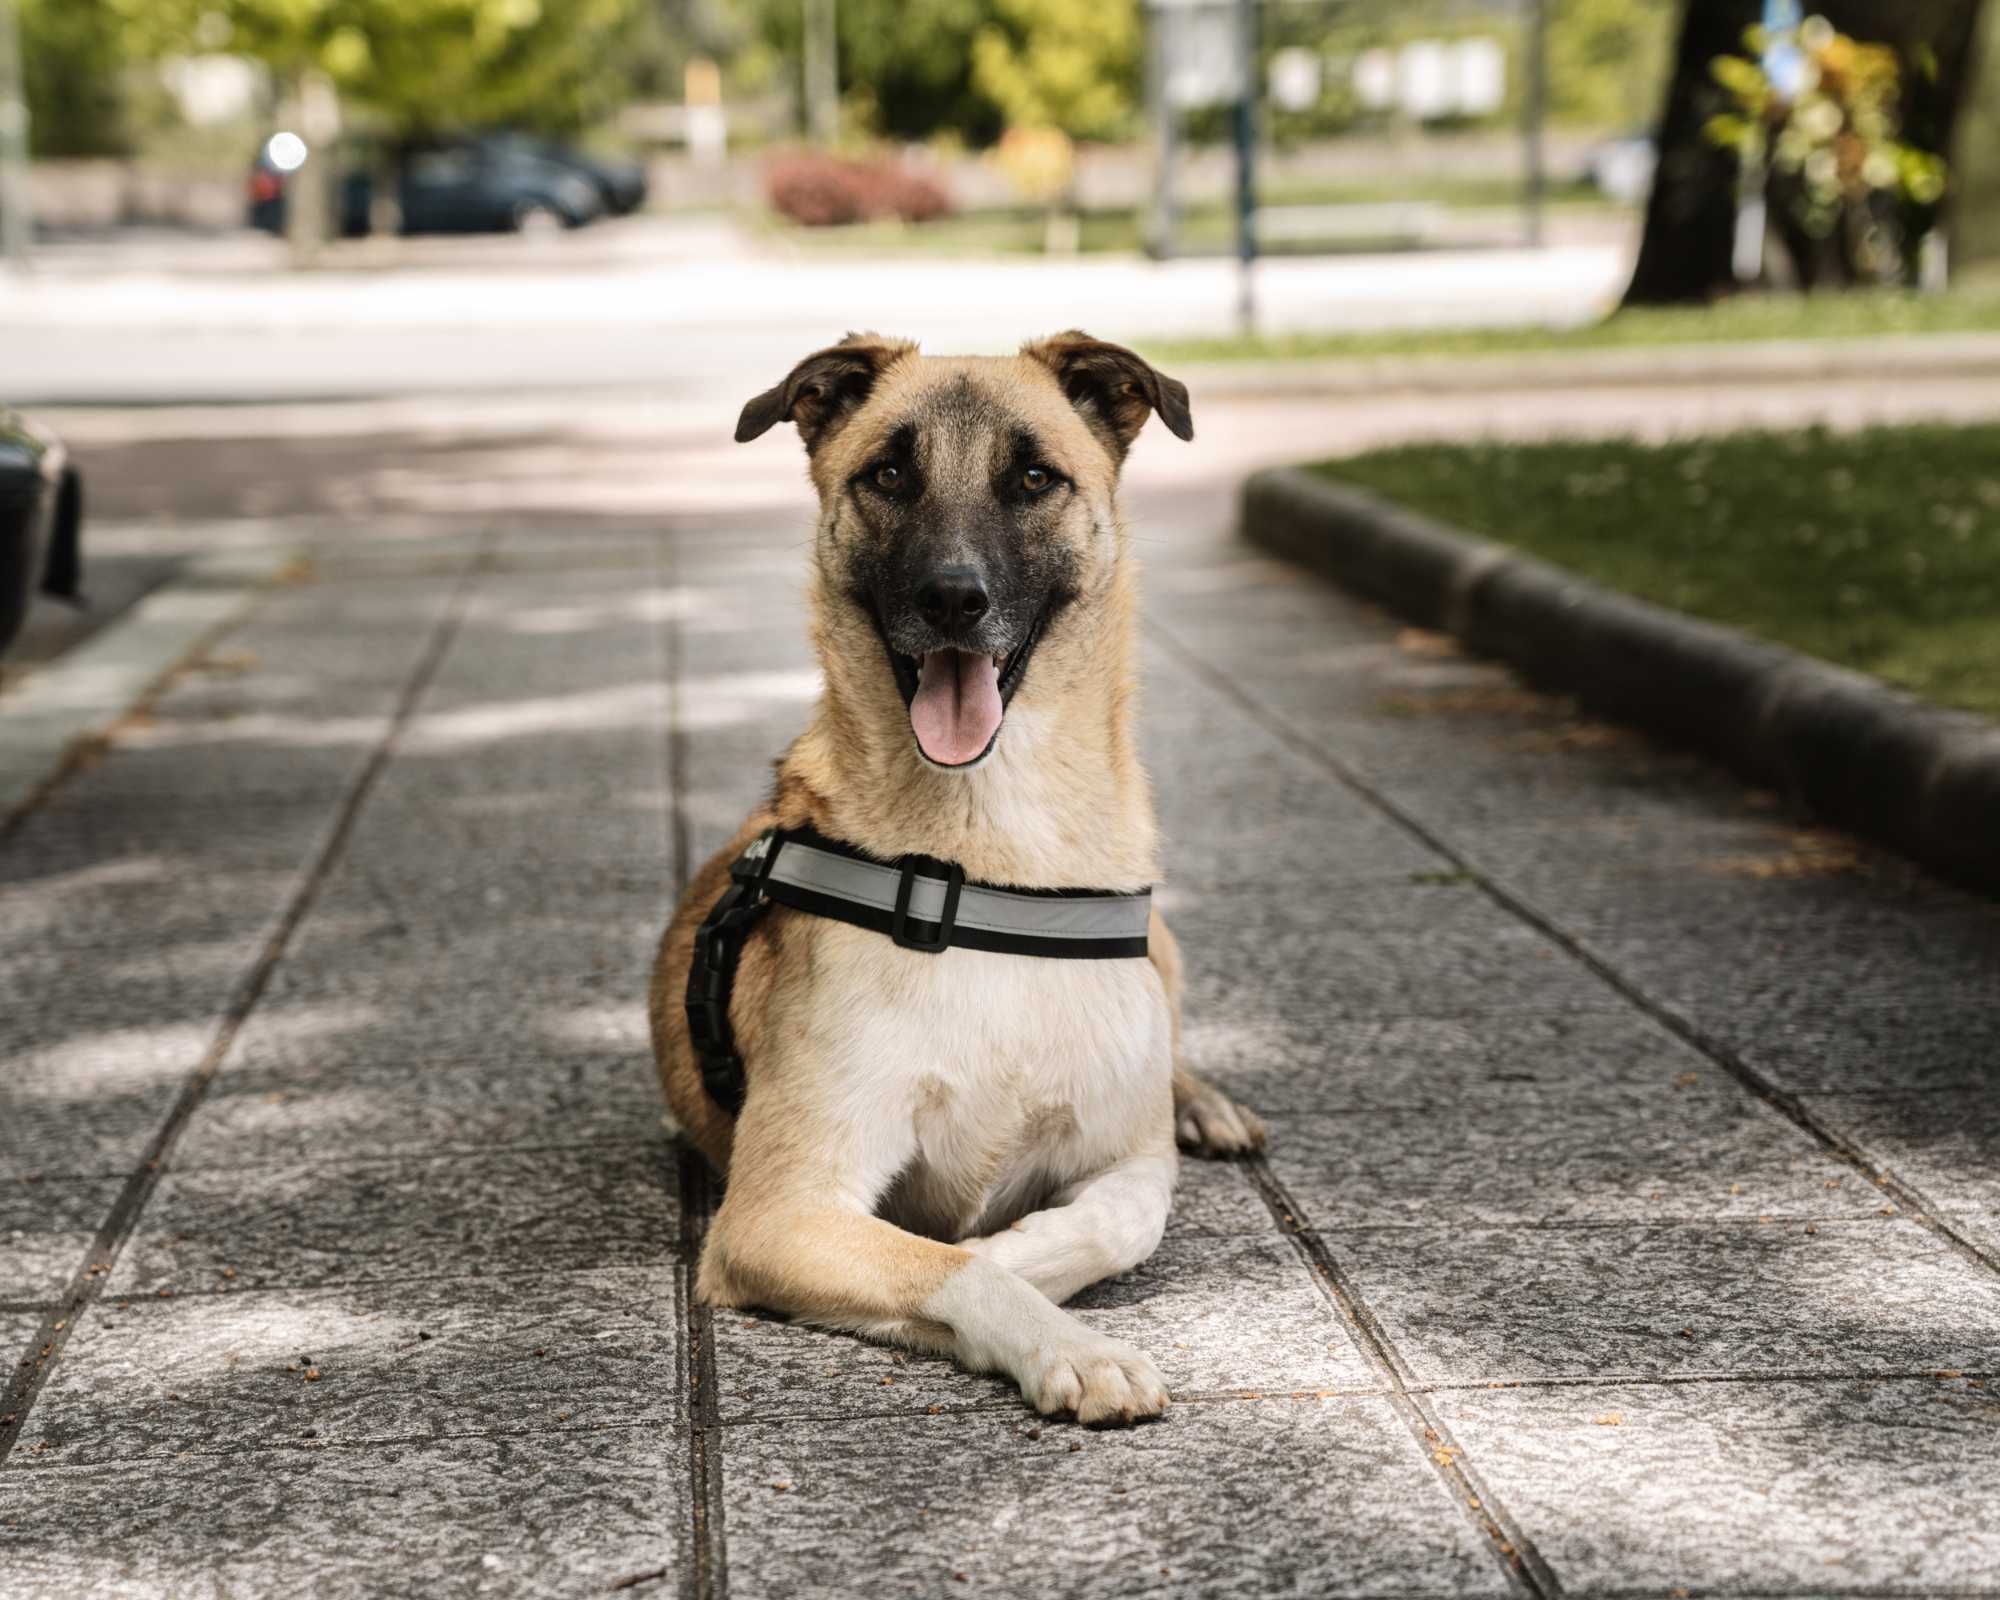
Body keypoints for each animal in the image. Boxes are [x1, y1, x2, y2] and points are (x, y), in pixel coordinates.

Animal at [652, 334, 1264, 1424]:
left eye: (1034, 479)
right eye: (889, 473)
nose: (951, 598)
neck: (990, 854)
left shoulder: (1128, 1157)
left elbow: (1125, 1215)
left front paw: (1025, 1247)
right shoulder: (778, 1210)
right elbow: (954, 1264)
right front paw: (1065, 1338)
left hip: (1166, 950)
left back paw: (1205, 1102)